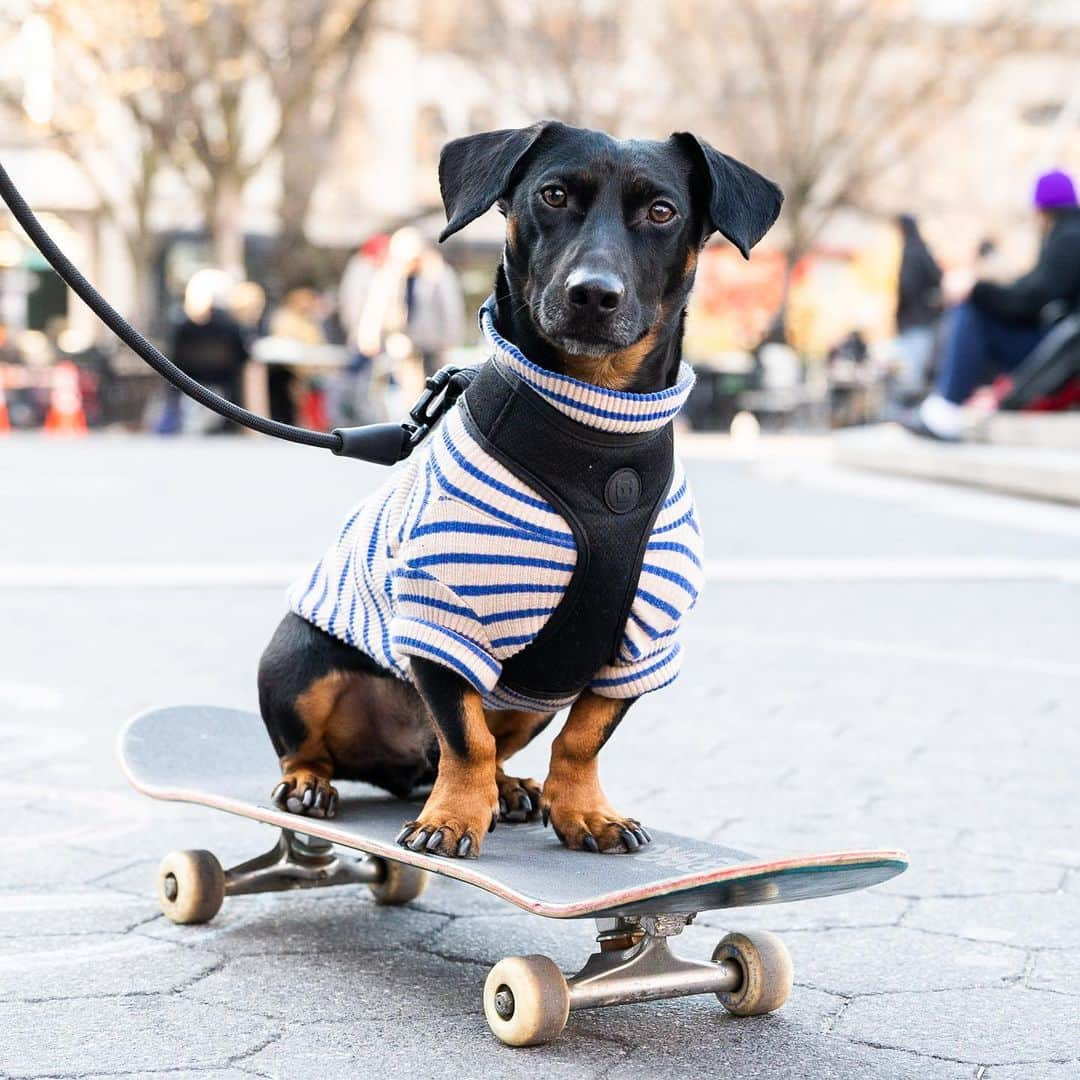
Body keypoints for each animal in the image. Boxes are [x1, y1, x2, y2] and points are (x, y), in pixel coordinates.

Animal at [261, 120, 786, 859]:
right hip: (297, 658)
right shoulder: (442, 617)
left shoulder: (644, 643)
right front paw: (452, 817)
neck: (595, 441)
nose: (593, 294)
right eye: (554, 194)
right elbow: (465, 738)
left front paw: (584, 810)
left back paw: (509, 789)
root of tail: (398, 763)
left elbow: (583, 739)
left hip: (530, 697)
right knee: (322, 747)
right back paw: (311, 784)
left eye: (662, 212)